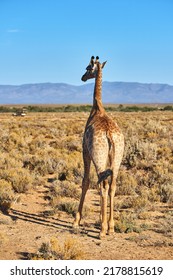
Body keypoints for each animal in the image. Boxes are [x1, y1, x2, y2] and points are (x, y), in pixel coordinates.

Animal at [73, 56, 124, 238]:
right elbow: (106, 185)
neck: (97, 108)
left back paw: (102, 230)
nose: (82, 77)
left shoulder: (85, 152)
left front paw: (76, 221)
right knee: (112, 186)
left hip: (99, 159)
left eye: (88, 68)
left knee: (101, 186)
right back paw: (111, 227)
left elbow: (85, 182)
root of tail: (110, 135)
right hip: (117, 160)